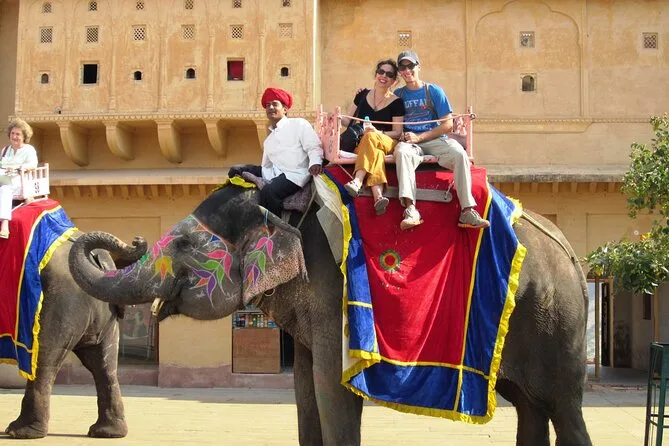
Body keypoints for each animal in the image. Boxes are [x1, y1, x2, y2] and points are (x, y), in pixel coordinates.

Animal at [3, 230, 146, 439]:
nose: (137, 239)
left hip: (60, 301)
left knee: (45, 358)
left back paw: (20, 432)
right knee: (103, 364)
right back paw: (107, 432)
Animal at [68, 179, 593, 446]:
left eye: (182, 245)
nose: (134, 240)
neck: (281, 206)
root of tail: (573, 256)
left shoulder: (332, 286)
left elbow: (329, 385)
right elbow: (304, 387)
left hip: (556, 320)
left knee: (562, 407)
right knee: (529, 403)